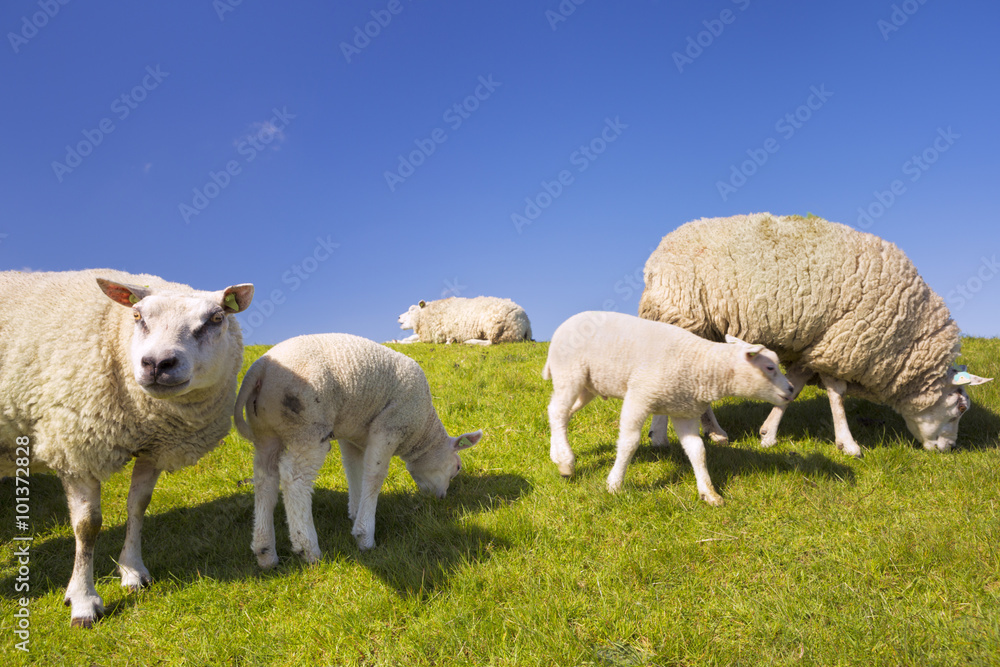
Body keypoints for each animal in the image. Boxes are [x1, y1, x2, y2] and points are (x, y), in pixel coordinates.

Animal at [0, 269, 253, 628]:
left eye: (216, 318)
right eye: (137, 316)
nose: (158, 363)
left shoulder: (155, 447)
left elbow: (138, 506)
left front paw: (132, 572)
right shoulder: (75, 446)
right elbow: (87, 526)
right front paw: (83, 600)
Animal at [233, 333, 482, 564]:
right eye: (457, 468)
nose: (441, 498)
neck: (421, 430)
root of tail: (260, 368)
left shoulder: (352, 437)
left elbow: (354, 471)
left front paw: (355, 511)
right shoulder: (390, 426)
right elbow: (375, 475)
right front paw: (365, 535)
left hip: (265, 432)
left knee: (265, 479)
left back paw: (265, 551)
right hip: (307, 426)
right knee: (294, 479)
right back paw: (308, 548)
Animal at [397, 296, 532, 345]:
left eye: (411, 309)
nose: (398, 317)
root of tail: (526, 322)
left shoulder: (435, 336)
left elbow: (415, 341)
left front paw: (400, 342)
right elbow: (412, 338)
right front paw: (397, 340)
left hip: (497, 329)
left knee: (491, 343)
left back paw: (467, 341)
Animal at [543, 311, 794, 505]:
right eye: (770, 367)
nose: (791, 389)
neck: (701, 366)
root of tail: (563, 326)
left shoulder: (684, 412)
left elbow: (697, 450)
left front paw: (709, 492)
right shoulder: (639, 396)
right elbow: (629, 442)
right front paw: (614, 484)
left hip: (588, 386)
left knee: (559, 413)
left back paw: (557, 454)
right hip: (570, 373)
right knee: (558, 411)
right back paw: (566, 462)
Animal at [638, 213, 993, 456]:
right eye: (960, 408)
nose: (948, 449)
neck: (906, 336)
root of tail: (658, 253)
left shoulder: (816, 347)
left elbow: (792, 389)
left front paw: (767, 435)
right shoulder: (842, 344)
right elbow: (837, 394)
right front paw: (848, 444)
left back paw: (714, 433)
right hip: (680, 316)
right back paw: (661, 437)